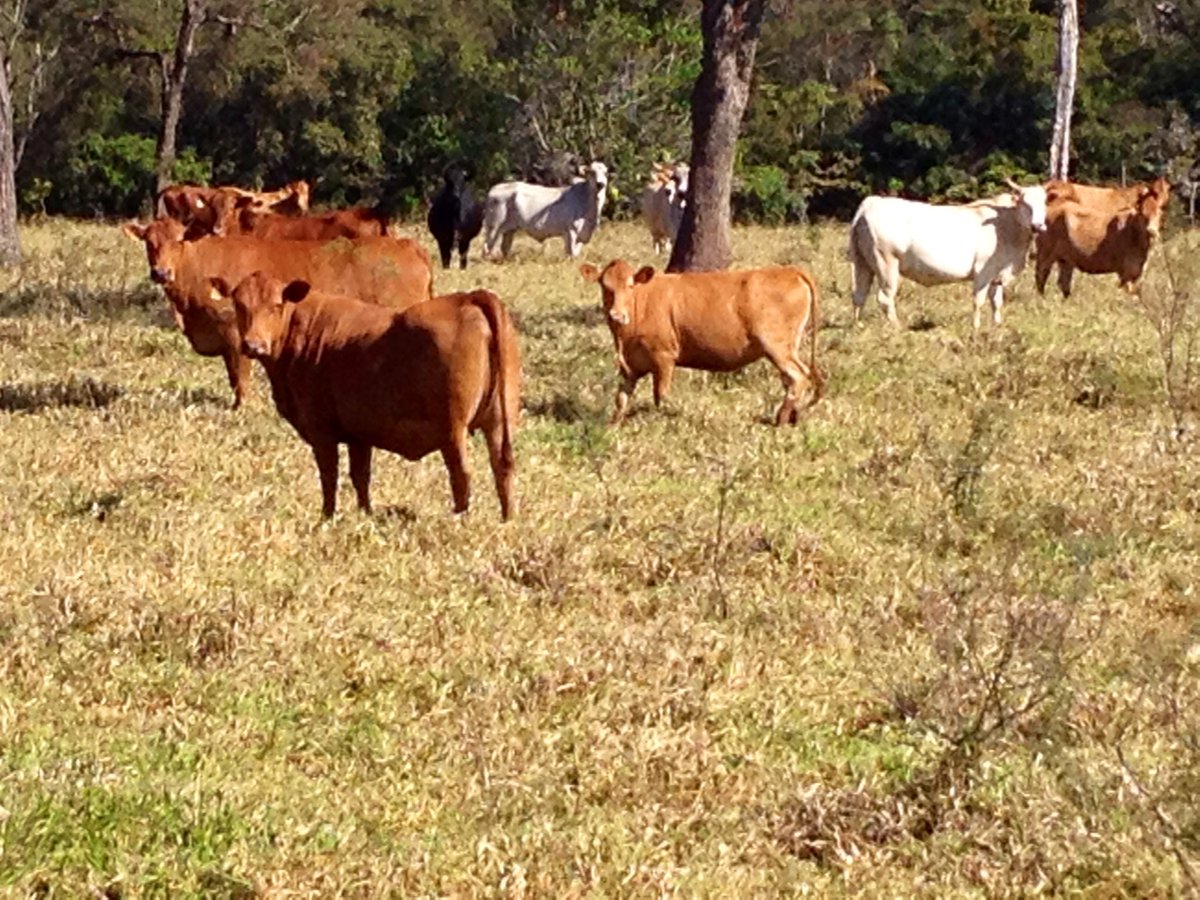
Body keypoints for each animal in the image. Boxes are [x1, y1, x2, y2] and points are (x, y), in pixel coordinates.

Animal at [122, 217, 434, 407]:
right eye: (149, 242)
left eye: (179, 241)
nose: (161, 272)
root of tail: (406, 244)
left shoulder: (236, 336)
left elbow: (240, 377)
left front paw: (240, 407)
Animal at [215, 271, 520, 520]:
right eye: (239, 305)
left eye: (276, 306)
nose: (253, 345)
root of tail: (468, 299)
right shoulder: (358, 435)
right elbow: (360, 476)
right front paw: (365, 513)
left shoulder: (321, 431)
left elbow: (330, 475)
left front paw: (327, 517)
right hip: (498, 422)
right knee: (502, 466)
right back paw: (507, 519)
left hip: (452, 430)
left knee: (462, 474)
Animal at [579, 259, 823, 426]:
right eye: (604, 286)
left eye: (631, 286)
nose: (617, 315)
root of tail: (789, 270)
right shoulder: (630, 365)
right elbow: (621, 398)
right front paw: (613, 425)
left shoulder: (664, 357)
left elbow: (661, 395)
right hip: (788, 348)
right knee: (792, 379)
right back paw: (791, 415)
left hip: (777, 347)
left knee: (798, 376)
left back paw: (781, 419)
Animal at [848, 182, 1048, 330]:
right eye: (1025, 203)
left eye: (1044, 203)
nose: (1038, 226)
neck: (1005, 225)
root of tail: (871, 202)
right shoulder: (983, 271)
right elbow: (979, 301)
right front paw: (976, 327)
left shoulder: (997, 274)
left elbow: (996, 301)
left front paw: (997, 325)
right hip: (886, 264)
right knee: (884, 298)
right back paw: (898, 327)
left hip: (863, 263)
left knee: (859, 294)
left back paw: (858, 326)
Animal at [1035, 177, 1171, 297]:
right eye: (1142, 213)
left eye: (1160, 212)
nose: (1152, 231)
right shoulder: (1126, 272)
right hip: (1045, 254)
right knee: (1040, 278)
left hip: (1066, 259)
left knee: (1064, 283)